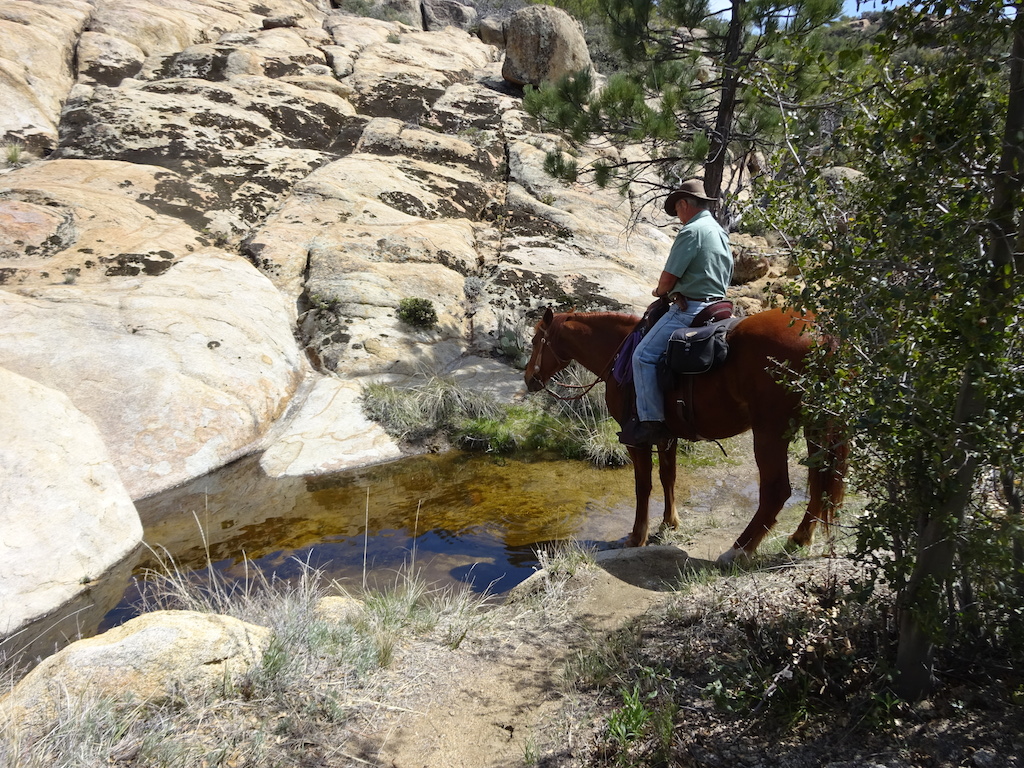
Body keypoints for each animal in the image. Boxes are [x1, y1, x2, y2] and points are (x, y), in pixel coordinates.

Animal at [523, 306, 848, 565]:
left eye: (535, 341)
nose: (528, 379)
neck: (619, 352)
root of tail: (822, 335)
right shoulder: (667, 435)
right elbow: (669, 477)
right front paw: (669, 523)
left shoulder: (636, 439)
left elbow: (643, 486)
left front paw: (637, 536)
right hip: (814, 427)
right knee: (820, 480)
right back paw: (800, 537)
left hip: (769, 430)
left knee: (777, 490)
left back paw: (738, 550)